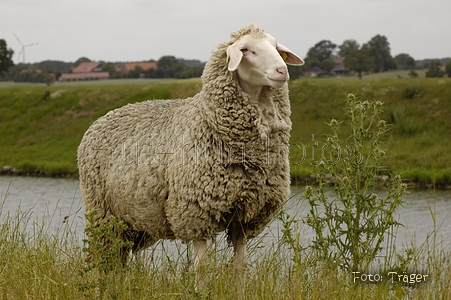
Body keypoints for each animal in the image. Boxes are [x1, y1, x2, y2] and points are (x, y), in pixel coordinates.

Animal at [77, 24, 306, 284]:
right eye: (246, 50)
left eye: (276, 47)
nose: (282, 70)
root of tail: (102, 118)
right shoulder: (195, 212)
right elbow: (202, 268)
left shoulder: (245, 216)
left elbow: (239, 267)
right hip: (101, 212)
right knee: (99, 259)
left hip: (129, 222)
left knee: (117, 260)